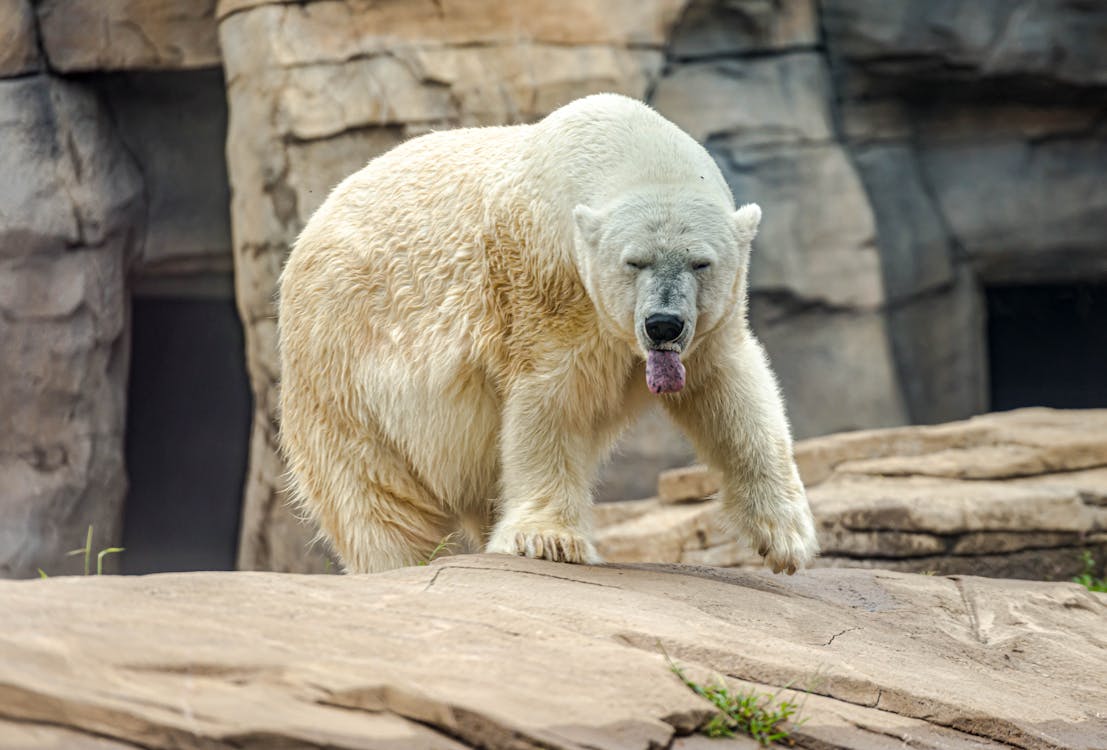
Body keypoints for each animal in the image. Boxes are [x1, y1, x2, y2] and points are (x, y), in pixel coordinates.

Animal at [278, 94, 814, 575]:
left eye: (701, 262)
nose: (663, 324)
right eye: (634, 262)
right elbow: (552, 400)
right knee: (373, 491)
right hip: (341, 363)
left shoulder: (709, 328)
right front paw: (549, 540)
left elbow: (729, 393)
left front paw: (787, 538)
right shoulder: (545, 287)